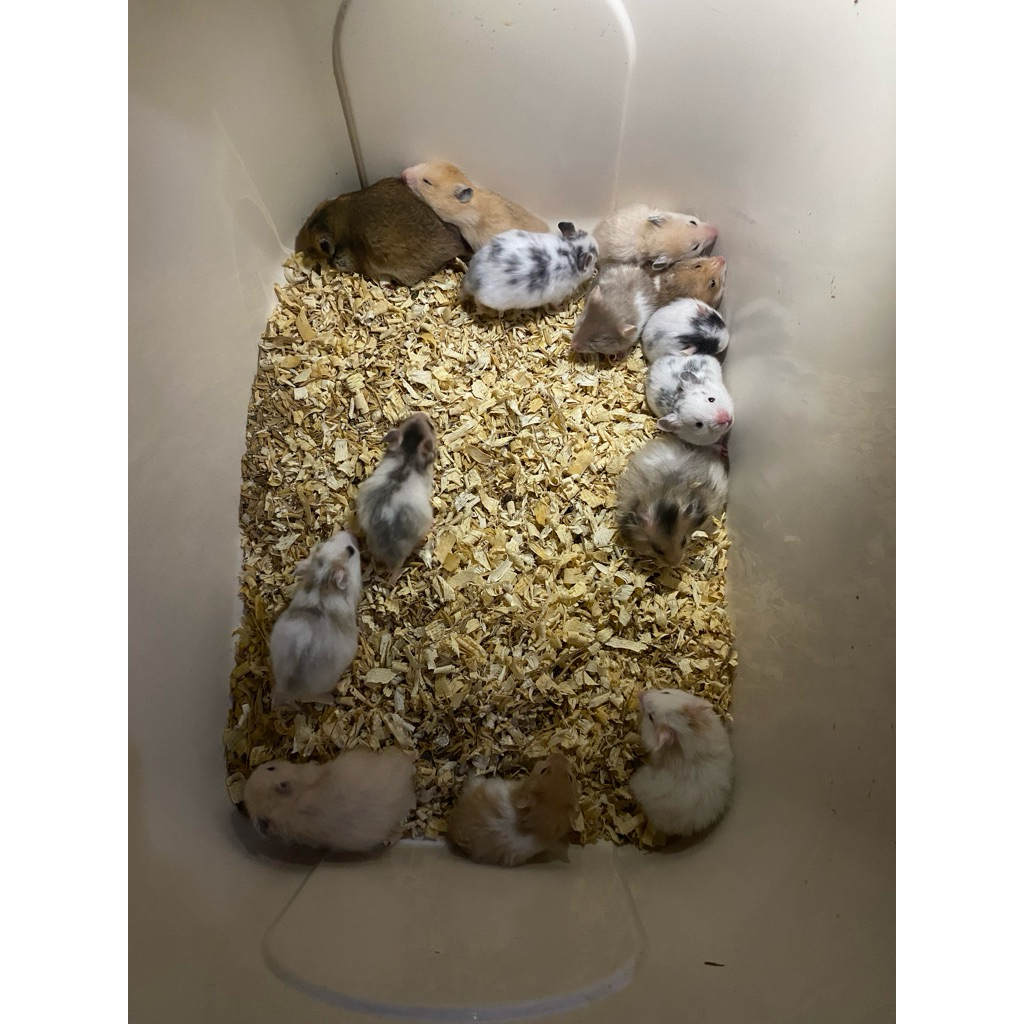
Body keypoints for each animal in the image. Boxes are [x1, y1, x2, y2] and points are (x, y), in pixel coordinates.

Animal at [268, 531, 362, 706]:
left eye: (327, 541)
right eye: (351, 551)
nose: (350, 532)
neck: (322, 580)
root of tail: (290, 689)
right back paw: (330, 700)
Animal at [460, 223, 598, 315]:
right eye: (593, 261)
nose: (593, 272)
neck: (570, 250)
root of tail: (472, 278)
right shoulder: (558, 296)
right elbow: (554, 305)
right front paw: (559, 309)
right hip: (489, 299)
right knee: (478, 302)